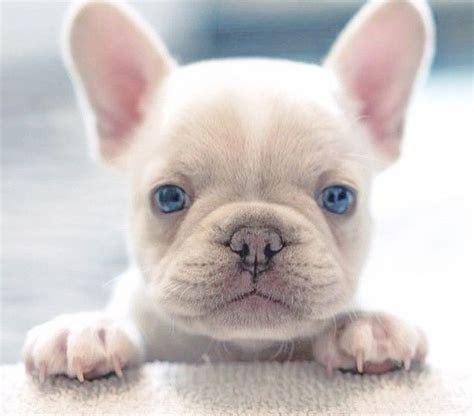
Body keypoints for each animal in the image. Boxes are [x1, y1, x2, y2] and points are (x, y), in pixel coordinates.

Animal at [24, 0, 436, 384]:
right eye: (168, 197)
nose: (256, 238)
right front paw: (88, 327)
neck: (242, 351)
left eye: (338, 198)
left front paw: (369, 323)